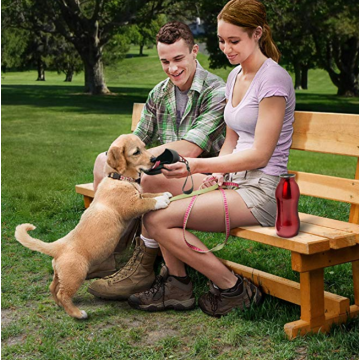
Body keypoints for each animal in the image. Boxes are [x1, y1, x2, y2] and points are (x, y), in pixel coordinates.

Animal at [14, 134, 172, 320]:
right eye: (136, 152)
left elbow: (148, 194)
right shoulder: (132, 205)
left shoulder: (138, 196)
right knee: (63, 293)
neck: (118, 178)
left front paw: (164, 193)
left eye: (145, 146)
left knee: (52, 288)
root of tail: (57, 246)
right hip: (76, 274)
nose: (154, 159)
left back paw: (60, 306)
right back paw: (77, 313)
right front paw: (161, 199)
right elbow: (148, 201)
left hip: (61, 274)